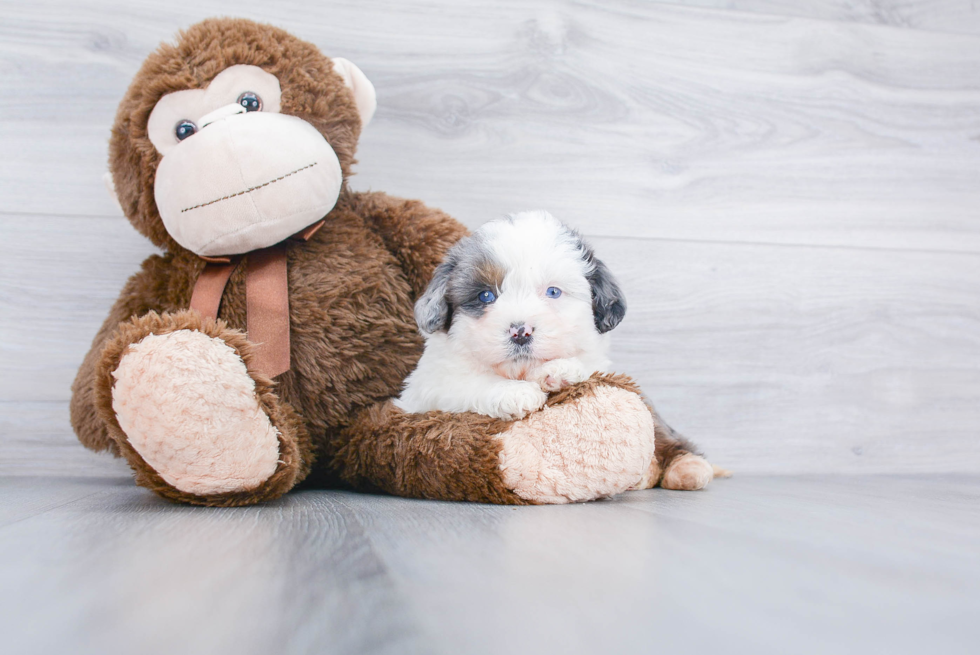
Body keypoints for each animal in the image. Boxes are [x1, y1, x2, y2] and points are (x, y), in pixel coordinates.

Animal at [396, 210, 628, 420]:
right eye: (485, 295)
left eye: (553, 292)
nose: (520, 332)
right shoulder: (429, 386)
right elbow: (466, 382)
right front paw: (514, 392)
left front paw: (559, 370)